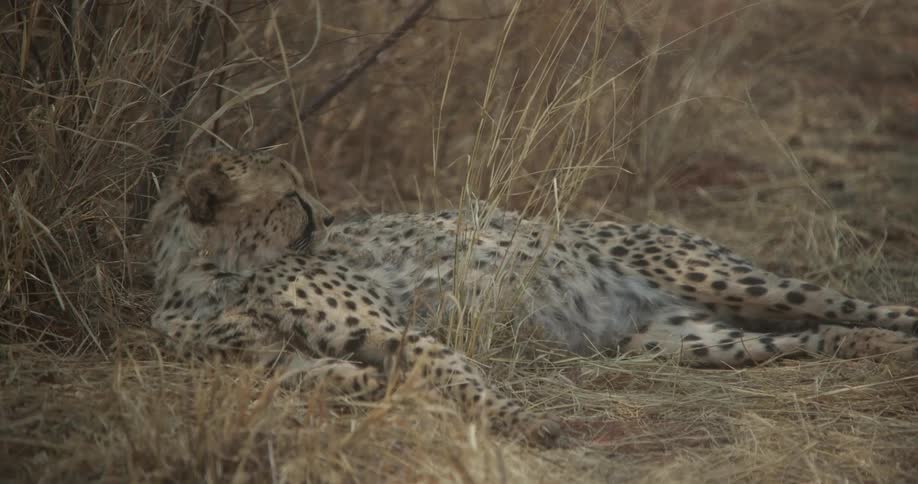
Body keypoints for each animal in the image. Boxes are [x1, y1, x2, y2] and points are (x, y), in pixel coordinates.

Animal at [147, 149, 918, 447]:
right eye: (294, 199)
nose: (330, 215)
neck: (215, 275)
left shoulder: (405, 333)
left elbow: (456, 375)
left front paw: (525, 425)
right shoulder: (272, 363)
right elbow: (315, 375)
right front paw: (379, 392)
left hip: (726, 280)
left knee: (855, 304)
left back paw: (894, 336)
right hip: (681, 341)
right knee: (808, 337)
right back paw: (873, 350)